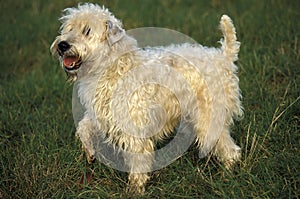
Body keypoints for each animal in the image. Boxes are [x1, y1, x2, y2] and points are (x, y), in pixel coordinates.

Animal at [51, 3, 244, 194]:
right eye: (69, 28)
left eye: (87, 30)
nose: (62, 45)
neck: (111, 66)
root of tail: (223, 57)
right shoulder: (101, 114)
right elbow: (83, 126)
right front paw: (90, 152)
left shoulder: (134, 126)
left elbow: (138, 160)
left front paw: (135, 189)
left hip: (207, 119)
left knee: (230, 150)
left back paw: (226, 177)